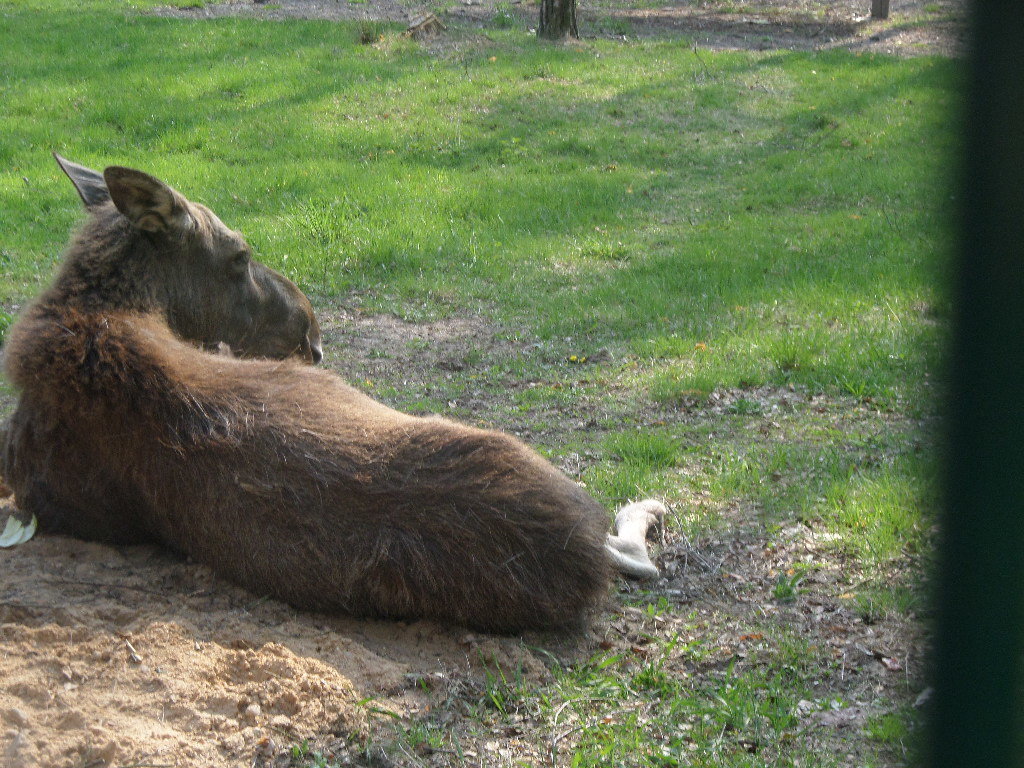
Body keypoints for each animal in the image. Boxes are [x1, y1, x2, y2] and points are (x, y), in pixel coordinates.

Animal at [2, 154, 663, 630]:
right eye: (239, 253)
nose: (313, 338)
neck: (96, 315)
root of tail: (572, 550)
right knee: (633, 551)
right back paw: (645, 507)